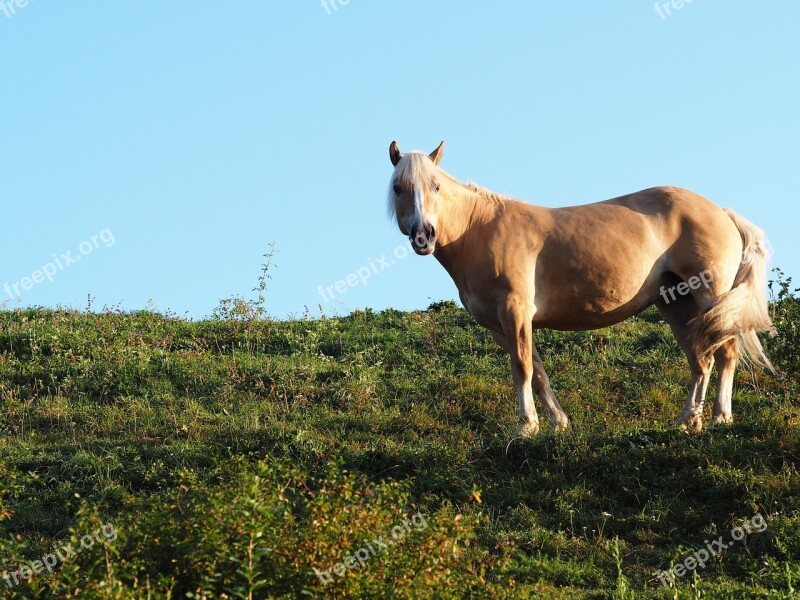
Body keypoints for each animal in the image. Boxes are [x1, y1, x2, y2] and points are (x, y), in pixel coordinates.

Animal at [388, 142, 776, 438]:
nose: (424, 234)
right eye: (398, 188)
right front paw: (558, 423)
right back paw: (687, 421)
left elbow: (522, 367)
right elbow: (537, 370)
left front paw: (526, 427)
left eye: (436, 186)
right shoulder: (501, 326)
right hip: (677, 305)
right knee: (701, 359)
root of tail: (721, 211)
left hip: (710, 296)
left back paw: (719, 419)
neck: (479, 230)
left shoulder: (515, 312)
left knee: (725, 354)